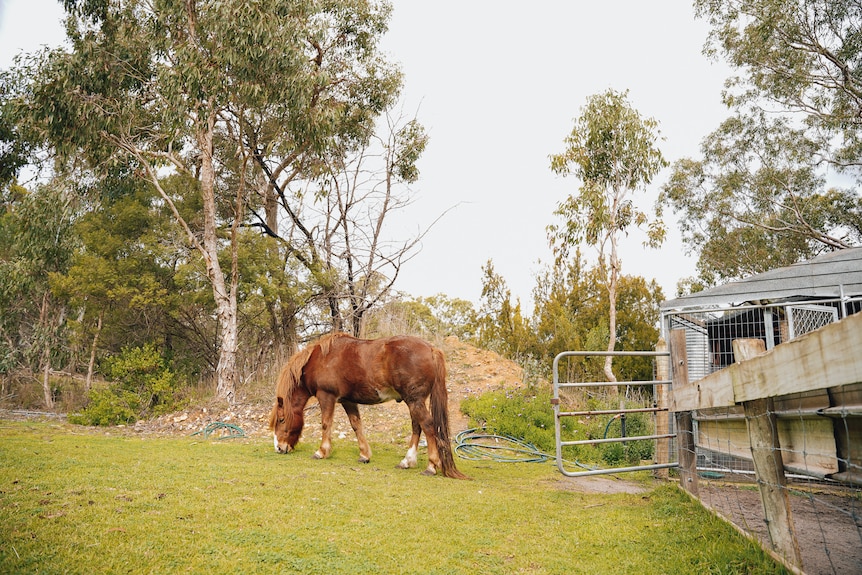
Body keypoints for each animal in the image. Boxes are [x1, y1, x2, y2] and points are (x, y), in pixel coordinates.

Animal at [270, 332, 472, 482]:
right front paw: (364, 455)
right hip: (414, 401)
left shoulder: (326, 396)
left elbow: (326, 423)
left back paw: (431, 466)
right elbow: (356, 425)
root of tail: (431, 349)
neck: (321, 359)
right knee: (417, 427)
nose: (279, 448)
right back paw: (407, 461)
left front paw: (321, 451)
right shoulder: (348, 401)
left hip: (415, 400)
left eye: (281, 419)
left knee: (428, 426)